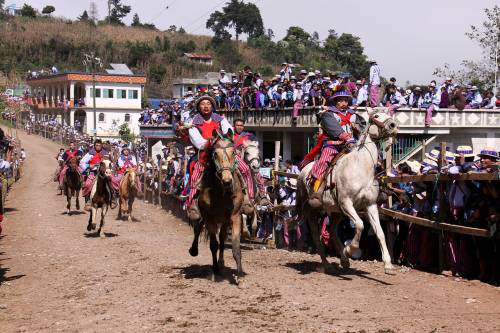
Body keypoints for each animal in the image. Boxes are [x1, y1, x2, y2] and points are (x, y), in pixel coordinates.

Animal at [188, 130, 245, 282]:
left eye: (233, 152)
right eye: (215, 154)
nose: (227, 180)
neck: (221, 191)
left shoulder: (235, 216)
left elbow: (235, 247)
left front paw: (240, 276)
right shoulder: (209, 217)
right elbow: (213, 245)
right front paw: (215, 271)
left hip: (224, 221)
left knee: (223, 239)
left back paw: (221, 262)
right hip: (203, 215)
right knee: (198, 228)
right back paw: (194, 250)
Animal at [296, 109, 398, 272]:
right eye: (376, 116)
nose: (393, 125)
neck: (360, 167)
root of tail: (303, 172)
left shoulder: (370, 205)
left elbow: (380, 233)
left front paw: (388, 264)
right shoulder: (346, 203)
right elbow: (360, 225)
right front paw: (352, 249)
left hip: (337, 211)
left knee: (332, 231)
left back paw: (343, 260)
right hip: (313, 211)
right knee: (316, 236)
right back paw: (327, 264)